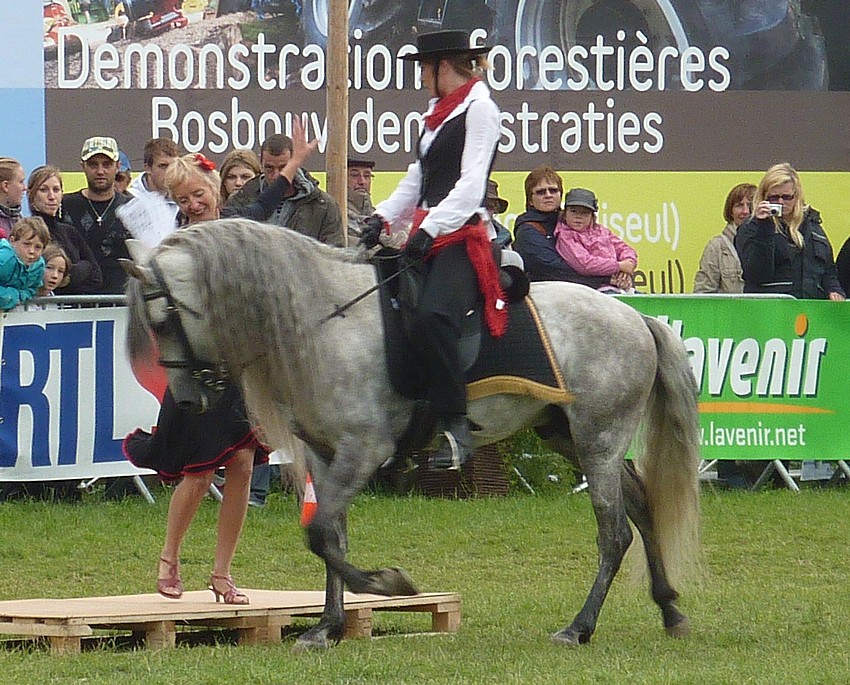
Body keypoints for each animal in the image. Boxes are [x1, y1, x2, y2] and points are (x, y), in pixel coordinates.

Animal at [122, 218, 700, 648]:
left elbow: (320, 533)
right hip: (569, 436)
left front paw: (385, 583)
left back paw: (580, 627)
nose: (189, 400)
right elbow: (331, 534)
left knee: (614, 532)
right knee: (642, 505)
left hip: (598, 438)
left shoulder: (364, 448)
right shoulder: (327, 454)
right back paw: (670, 608)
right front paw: (327, 626)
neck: (324, 321)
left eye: (164, 319)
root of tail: (634, 317)